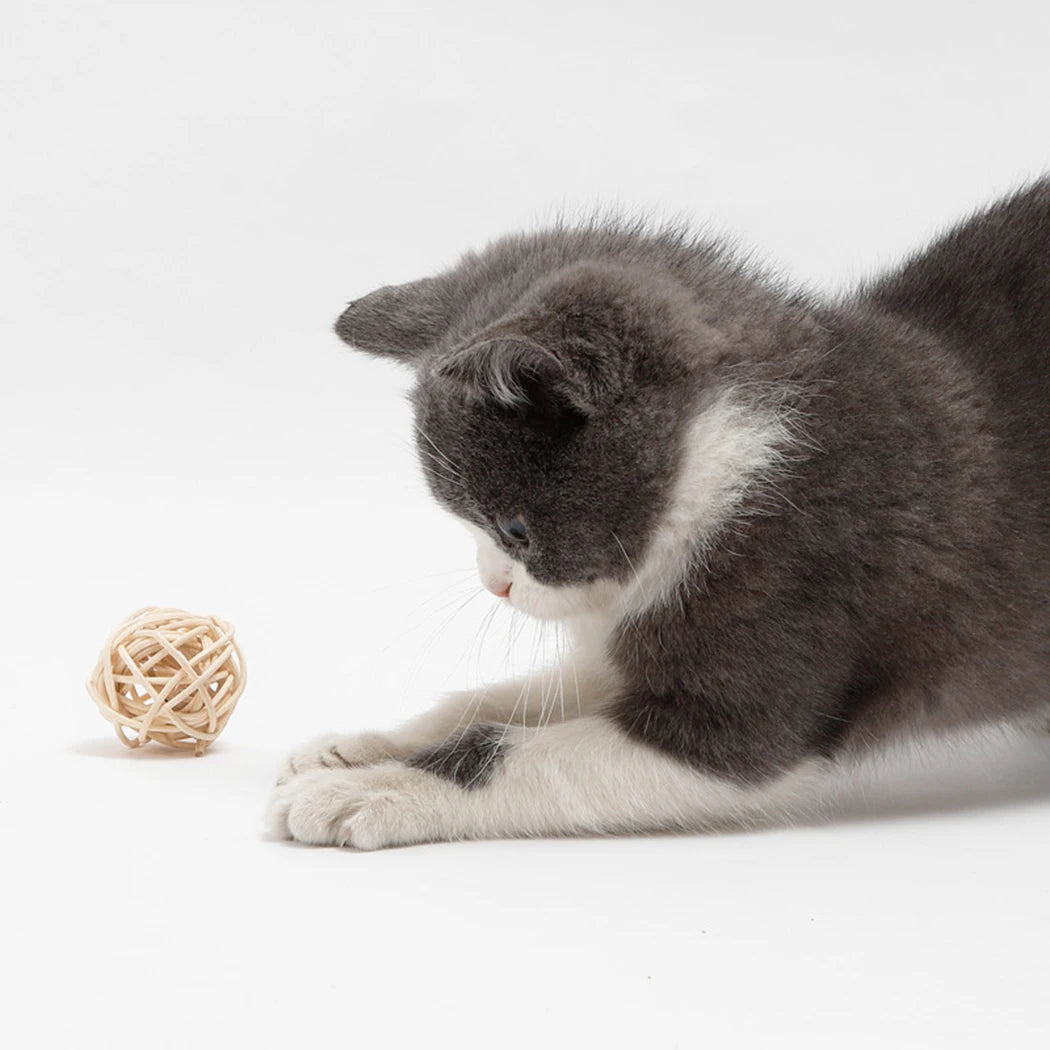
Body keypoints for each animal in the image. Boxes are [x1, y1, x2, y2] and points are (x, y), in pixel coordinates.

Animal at [266, 180, 1050, 848]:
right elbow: (506, 700)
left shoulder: (776, 637)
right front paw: (360, 747)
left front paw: (370, 789)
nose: (497, 584)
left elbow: (522, 752)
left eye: (513, 529)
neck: (720, 467)